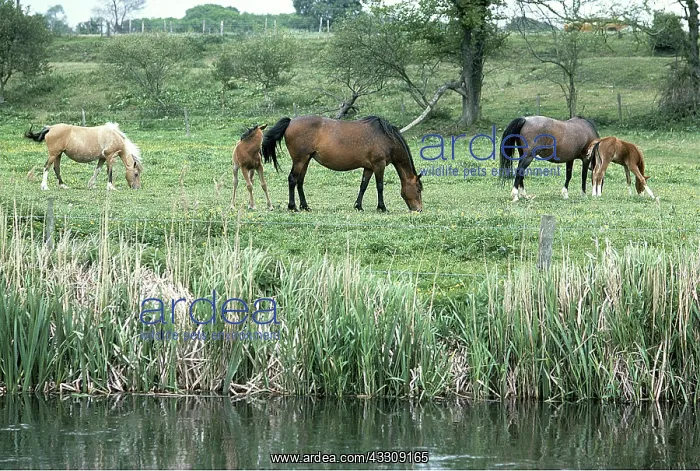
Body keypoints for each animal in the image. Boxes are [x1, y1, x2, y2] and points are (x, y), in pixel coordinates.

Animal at [261, 115, 423, 212]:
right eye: (419, 189)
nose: (419, 209)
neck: (386, 137)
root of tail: (291, 122)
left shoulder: (369, 167)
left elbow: (363, 186)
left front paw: (358, 206)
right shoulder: (379, 165)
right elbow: (380, 186)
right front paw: (382, 207)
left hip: (306, 160)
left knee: (300, 181)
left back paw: (305, 206)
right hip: (300, 160)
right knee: (292, 179)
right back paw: (292, 207)